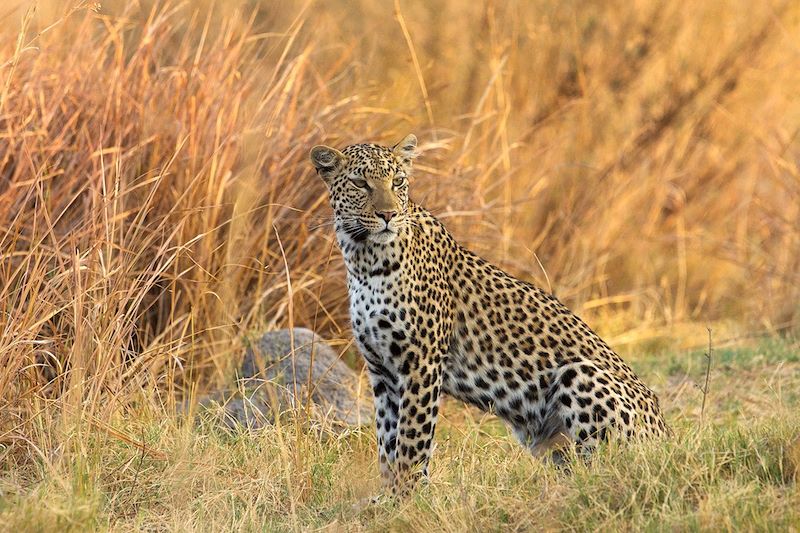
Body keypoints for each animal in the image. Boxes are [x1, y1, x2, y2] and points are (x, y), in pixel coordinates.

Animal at [308, 133, 668, 494]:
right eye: (360, 183)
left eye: (397, 181)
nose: (388, 214)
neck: (363, 259)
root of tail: (667, 435)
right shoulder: (381, 371)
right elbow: (387, 439)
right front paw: (388, 495)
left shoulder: (421, 363)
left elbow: (412, 438)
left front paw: (406, 496)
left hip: (580, 373)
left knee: (609, 465)